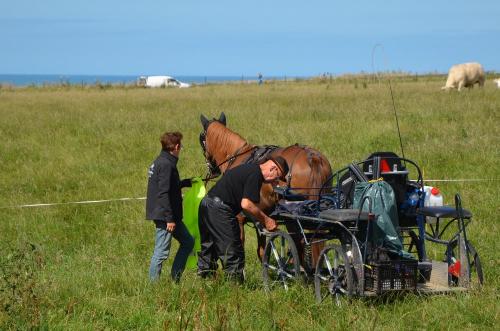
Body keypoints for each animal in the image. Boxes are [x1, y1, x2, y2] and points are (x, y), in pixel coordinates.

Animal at [198, 114, 332, 260]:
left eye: (202, 139)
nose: (212, 170)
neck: (237, 156)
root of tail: (312, 157)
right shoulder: (260, 218)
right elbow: (262, 251)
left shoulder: (240, 218)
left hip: (291, 219)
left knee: (300, 244)